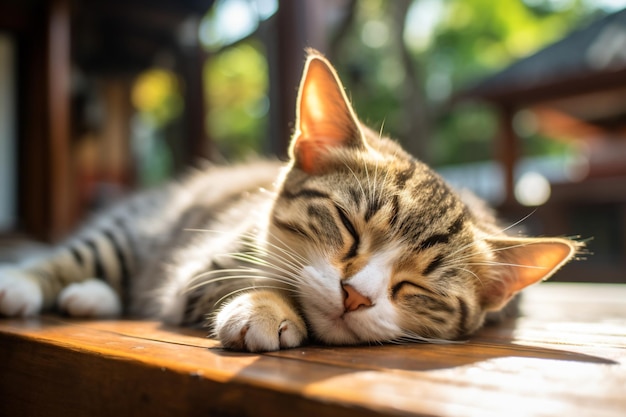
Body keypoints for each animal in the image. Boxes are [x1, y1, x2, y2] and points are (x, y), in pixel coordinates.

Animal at [0, 49, 580, 352]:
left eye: (417, 287)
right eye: (347, 225)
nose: (356, 297)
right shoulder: (209, 259)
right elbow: (247, 278)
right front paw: (267, 304)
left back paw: (89, 296)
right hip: (135, 228)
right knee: (75, 256)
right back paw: (28, 282)